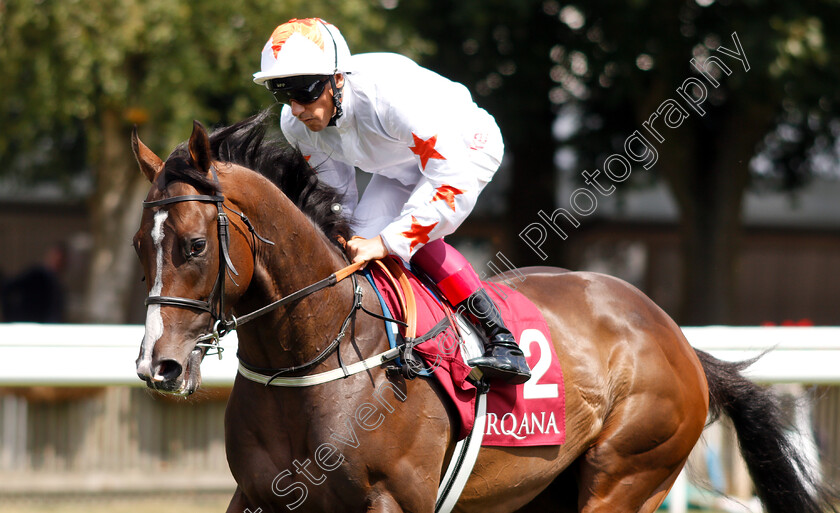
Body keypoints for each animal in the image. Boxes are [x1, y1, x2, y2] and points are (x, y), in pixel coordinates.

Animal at [133, 112, 832, 512]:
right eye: (142, 244)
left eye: (194, 246)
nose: (158, 367)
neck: (312, 358)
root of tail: (678, 340)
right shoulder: (258, 496)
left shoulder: (393, 500)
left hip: (628, 472)